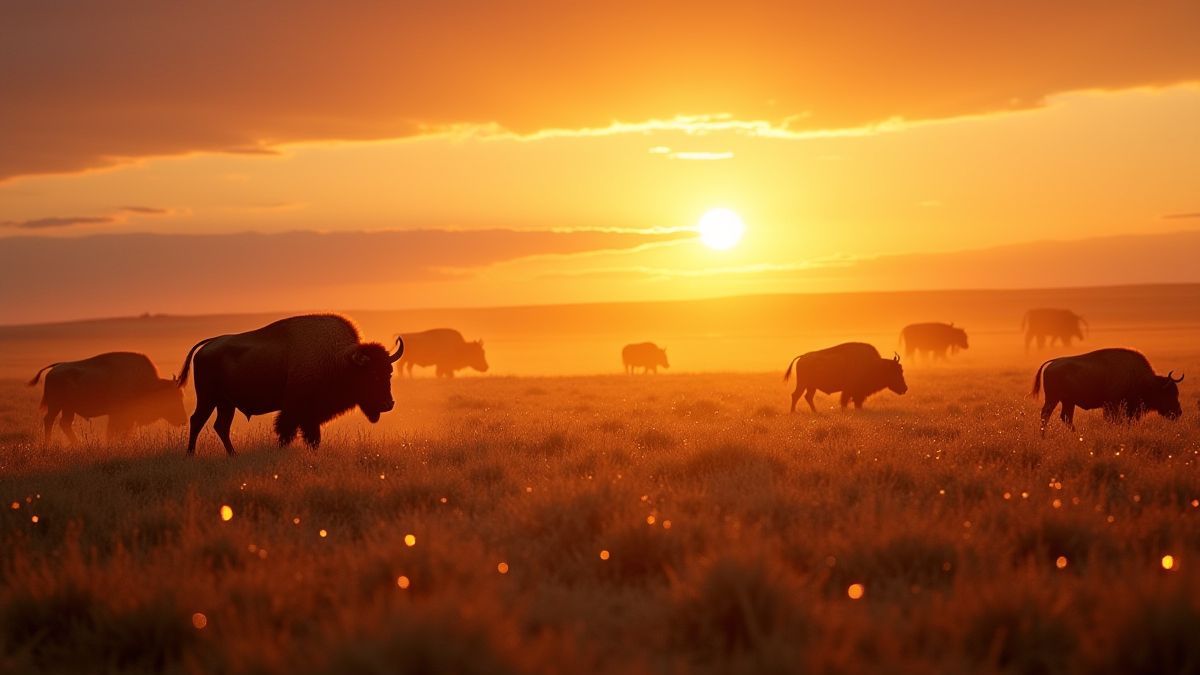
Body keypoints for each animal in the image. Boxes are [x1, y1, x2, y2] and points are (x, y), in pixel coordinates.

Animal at [28, 352, 185, 443]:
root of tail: (54, 369)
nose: (183, 419)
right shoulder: (118, 415)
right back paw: (49, 445)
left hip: (68, 408)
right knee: (49, 420)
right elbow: (113, 432)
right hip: (56, 405)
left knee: (64, 423)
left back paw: (77, 445)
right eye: (173, 398)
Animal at [177, 314, 403, 456]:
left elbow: (312, 438)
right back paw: (190, 455)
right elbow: (289, 433)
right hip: (208, 398)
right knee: (197, 421)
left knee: (221, 426)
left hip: (226, 403)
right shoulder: (296, 411)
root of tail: (208, 345)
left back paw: (233, 455)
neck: (339, 360)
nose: (388, 404)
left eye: (389, 372)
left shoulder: (310, 415)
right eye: (371, 375)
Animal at [1032, 348, 1183, 435]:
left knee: (1065, 417)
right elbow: (1114, 420)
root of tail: (1052, 364)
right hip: (1053, 398)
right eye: (1168, 393)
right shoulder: (1113, 404)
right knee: (1046, 415)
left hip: (1067, 401)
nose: (1178, 412)